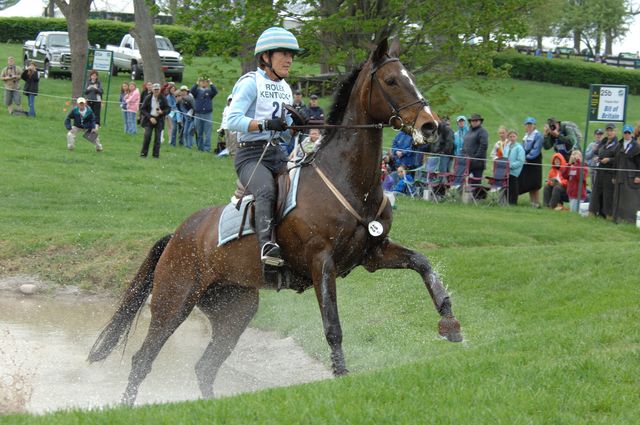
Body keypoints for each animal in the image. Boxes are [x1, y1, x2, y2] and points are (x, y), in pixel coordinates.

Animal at [89, 38, 460, 402]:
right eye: (392, 81)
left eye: (410, 77)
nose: (431, 125)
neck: (348, 182)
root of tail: (178, 235)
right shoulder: (321, 262)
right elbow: (333, 326)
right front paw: (341, 376)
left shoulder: (372, 253)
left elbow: (423, 263)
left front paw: (450, 323)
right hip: (175, 302)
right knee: (143, 360)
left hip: (235, 308)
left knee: (204, 367)